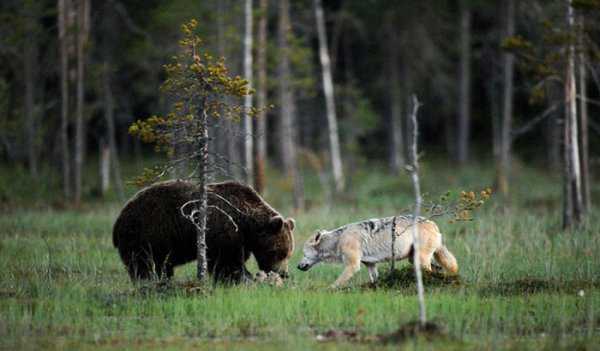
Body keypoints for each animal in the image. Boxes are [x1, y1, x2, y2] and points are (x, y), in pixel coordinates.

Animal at [112, 182, 296, 284]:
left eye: (289, 253)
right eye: (278, 252)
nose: (284, 273)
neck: (246, 223)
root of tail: (119, 218)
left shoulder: (241, 240)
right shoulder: (223, 231)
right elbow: (227, 263)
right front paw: (243, 279)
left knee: (161, 266)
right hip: (146, 233)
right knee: (142, 264)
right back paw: (146, 283)